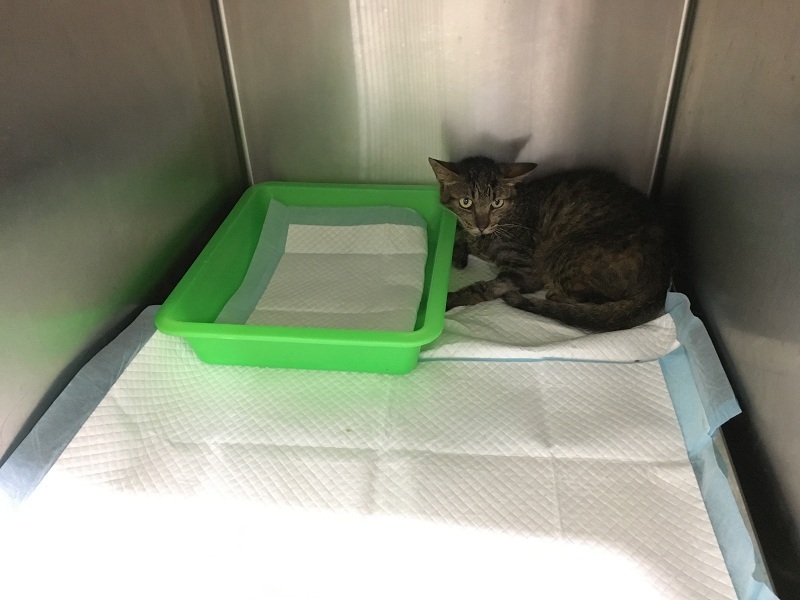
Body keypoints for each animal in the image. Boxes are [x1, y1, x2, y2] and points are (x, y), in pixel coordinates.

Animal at [428, 156, 672, 332]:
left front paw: (448, 300)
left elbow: (485, 288)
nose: (482, 225)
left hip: (560, 253)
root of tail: (660, 285)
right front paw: (458, 253)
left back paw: (557, 298)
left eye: (496, 203)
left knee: (593, 299)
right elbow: (461, 235)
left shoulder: (525, 270)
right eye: (466, 202)